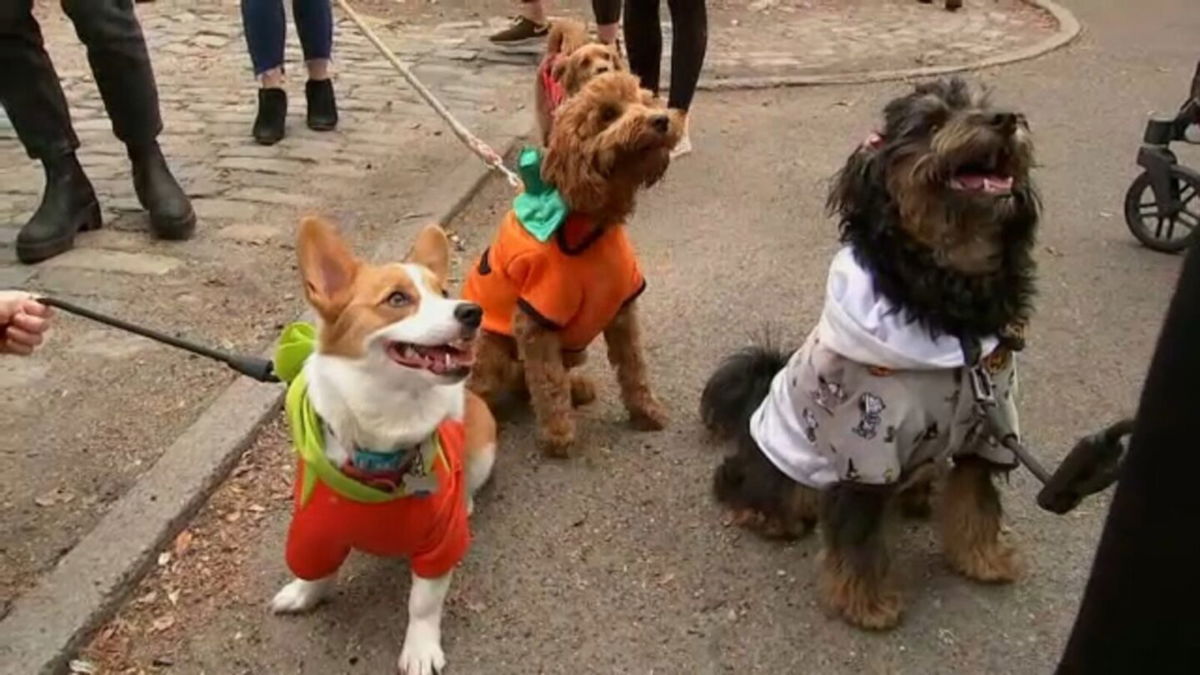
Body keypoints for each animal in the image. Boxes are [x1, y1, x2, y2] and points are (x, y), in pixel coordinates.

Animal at [463, 70, 681, 454]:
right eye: (608, 113)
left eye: (645, 100)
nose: (661, 120)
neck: (591, 223)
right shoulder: (535, 320)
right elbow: (548, 383)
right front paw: (558, 434)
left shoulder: (622, 310)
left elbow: (634, 367)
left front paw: (646, 412)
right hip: (489, 348)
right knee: (489, 387)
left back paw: (577, 387)